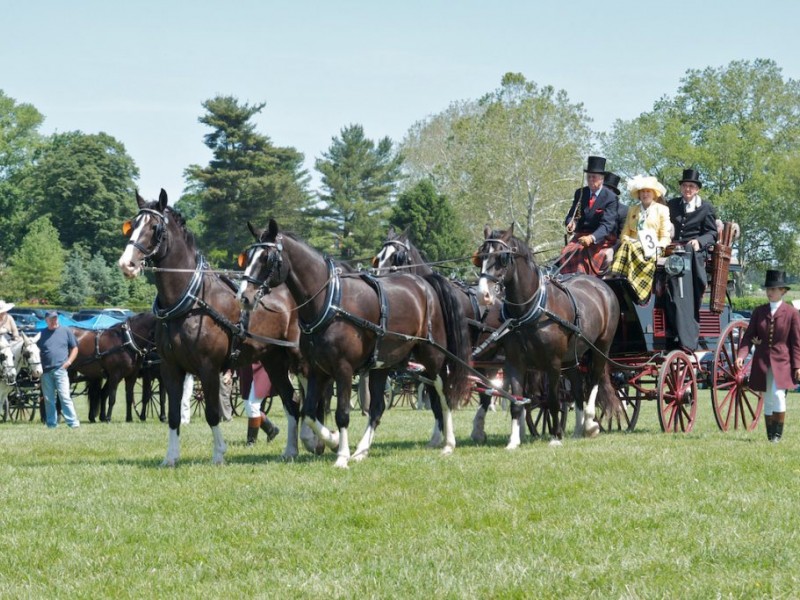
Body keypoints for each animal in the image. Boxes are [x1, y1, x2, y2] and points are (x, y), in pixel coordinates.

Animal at [117, 189, 304, 464]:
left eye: (155, 228)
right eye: (132, 224)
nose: (126, 264)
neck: (190, 301)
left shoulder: (208, 368)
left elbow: (213, 413)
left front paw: (218, 455)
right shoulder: (170, 368)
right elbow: (173, 415)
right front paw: (170, 457)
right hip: (273, 360)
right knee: (291, 400)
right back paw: (291, 450)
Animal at [241, 220, 472, 468]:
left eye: (268, 258)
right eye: (248, 256)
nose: (244, 296)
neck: (330, 302)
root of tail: (425, 283)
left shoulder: (343, 369)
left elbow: (342, 414)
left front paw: (341, 455)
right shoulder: (316, 369)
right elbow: (309, 412)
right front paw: (332, 441)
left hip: (433, 358)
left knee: (444, 395)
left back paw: (448, 444)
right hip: (383, 365)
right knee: (378, 408)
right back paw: (361, 450)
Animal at [372, 227, 504, 442]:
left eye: (397, 257)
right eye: (379, 258)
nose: (380, 282)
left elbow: (442, 397)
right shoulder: (427, 364)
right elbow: (434, 398)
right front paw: (437, 435)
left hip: (495, 358)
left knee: (490, 390)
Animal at [476, 225, 620, 446]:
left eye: (502, 258)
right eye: (481, 256)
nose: (483, 295)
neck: (532, 310)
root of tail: (601, 285)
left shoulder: (552, 363)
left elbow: (553, 400)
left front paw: (555, 437)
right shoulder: (515, 362)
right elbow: (517, 402)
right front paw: (513, 441)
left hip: (601, 347)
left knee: (594, 381)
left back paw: (590, 424)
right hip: (571, 357)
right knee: (577, 388)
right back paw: (578, 430)